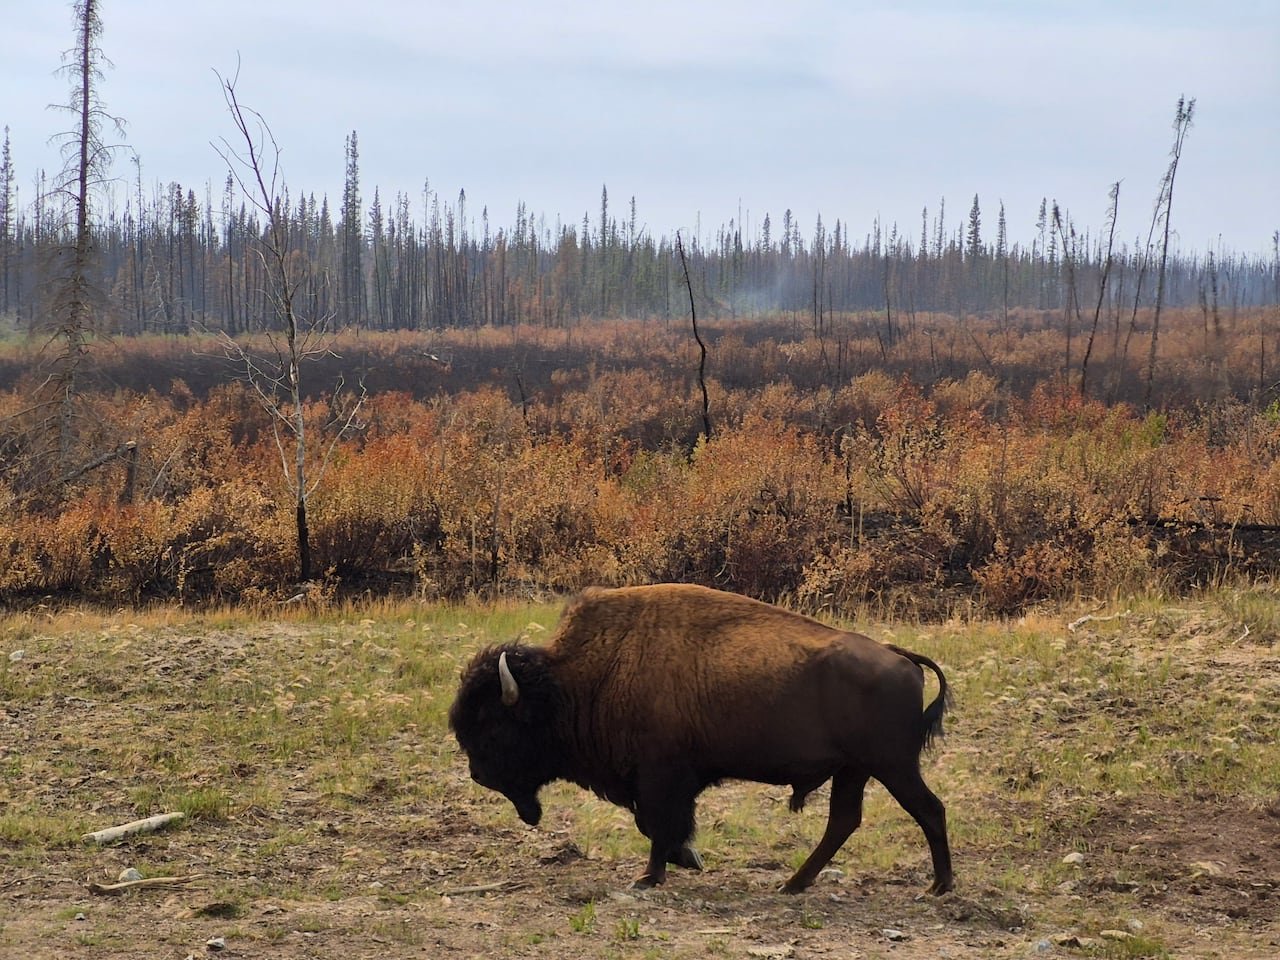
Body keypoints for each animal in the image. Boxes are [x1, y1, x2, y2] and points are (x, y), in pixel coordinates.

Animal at [448, 583, 953, 895]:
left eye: (493, 725)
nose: (477, 774)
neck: (573, 682)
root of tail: (898, 655)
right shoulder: (665, 781)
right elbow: (658, 825)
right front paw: (684, 860)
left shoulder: (660, 777)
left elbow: (657, 825)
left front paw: (652, 875)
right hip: (855, 771)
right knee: (844, 821)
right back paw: (793, 884)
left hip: (891, 766)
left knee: (928, 810)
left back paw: (938, 886)